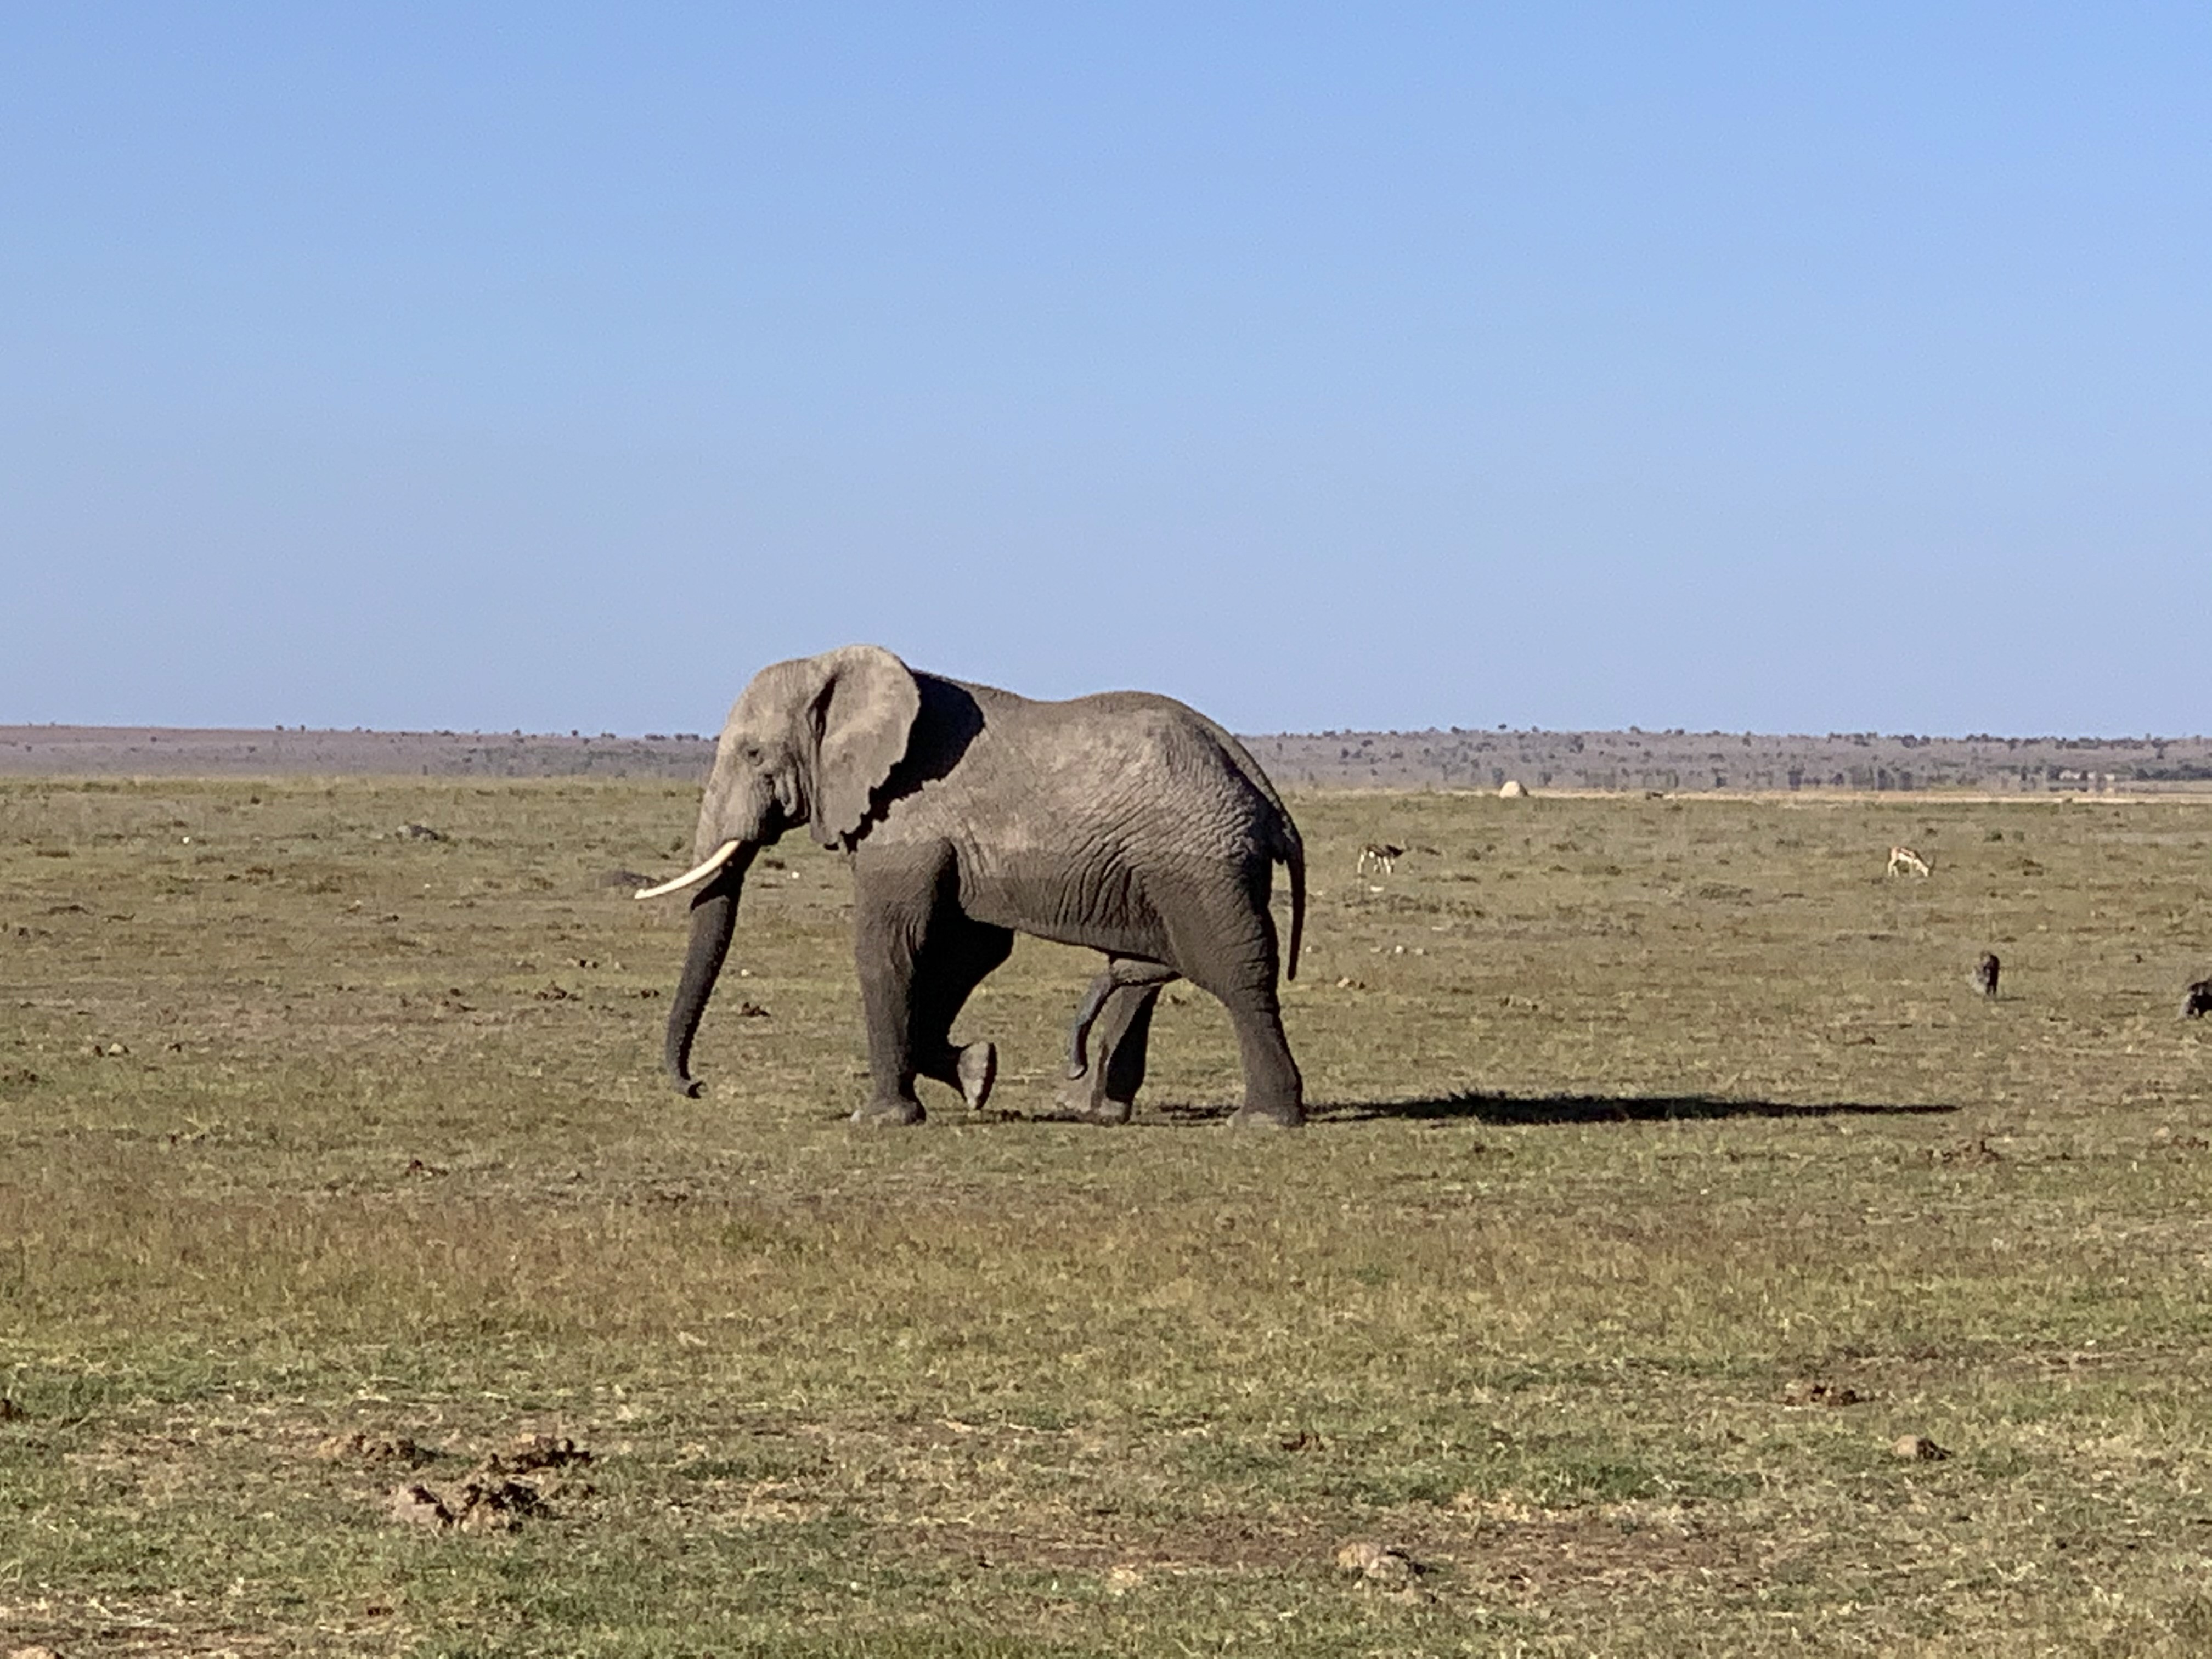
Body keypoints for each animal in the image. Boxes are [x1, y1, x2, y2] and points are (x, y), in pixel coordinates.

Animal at [637, 644, 1307, 1127]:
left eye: (753, 754)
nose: (696, 1086)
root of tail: (1259, 784)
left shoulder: (907, 822)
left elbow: (891, 945)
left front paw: (880, 1120)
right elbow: (965, 952)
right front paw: (977, 1073)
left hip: (1198, 863)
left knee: (1232, 971)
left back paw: (1264, 1121)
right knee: (1147, 966)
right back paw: (1100, 1112)